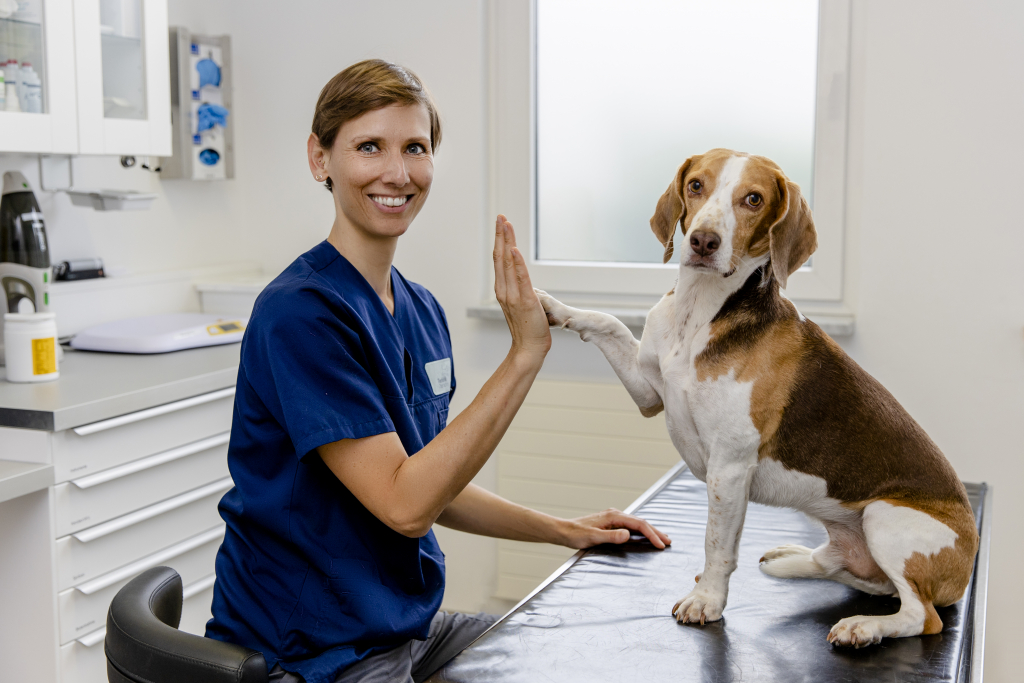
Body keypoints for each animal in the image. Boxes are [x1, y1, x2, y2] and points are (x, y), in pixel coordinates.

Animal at [536, 148, 974, 647]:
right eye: (696, 185)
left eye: (753, 199)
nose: (704, 241)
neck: (697, 315)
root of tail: (967, 563)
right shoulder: (649, 393)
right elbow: (606, 321)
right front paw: (552, 306)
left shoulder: (728, 467)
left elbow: (717, 545)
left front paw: (707, 600)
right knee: (838, 565)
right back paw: (791, 557)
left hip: (884, 516)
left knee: (922, 616)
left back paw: (863, 626)